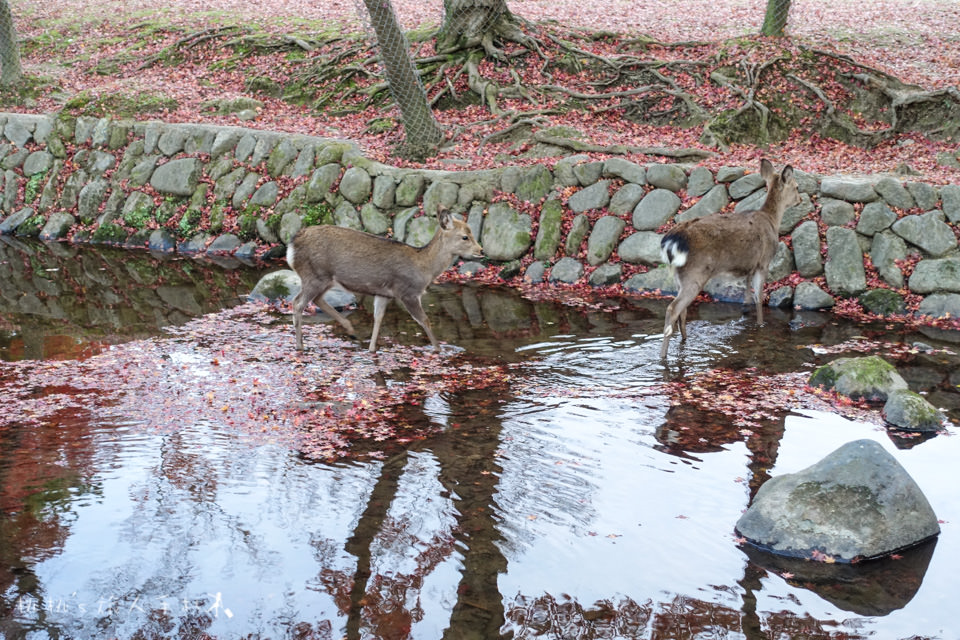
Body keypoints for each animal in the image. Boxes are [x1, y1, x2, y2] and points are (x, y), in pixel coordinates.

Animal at [284, 209, 480, 350]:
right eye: (465, 236)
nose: (480, 250)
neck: (424, 268)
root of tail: (291, 247)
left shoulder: (384, 293)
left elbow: (378, 318)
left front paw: (371, 349)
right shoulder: (408, 292)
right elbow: (425, 320)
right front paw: (439, 349)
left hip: (323, 278)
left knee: (316, 299)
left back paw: (351, 331)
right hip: (314, 275)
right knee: (298, 303)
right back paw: (300, 346)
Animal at [660, 159, 804, 360]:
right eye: (797, 186)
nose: (801, 200)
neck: (772, 221)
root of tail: (672, 240)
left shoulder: (749, 267)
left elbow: (747, 297)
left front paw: (745, 314)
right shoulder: (763, 262)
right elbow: (759, 298)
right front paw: (760, 325)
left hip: (677, 275)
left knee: (682, 310)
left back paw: (684, 341)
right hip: (695, 273)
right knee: (673, 309)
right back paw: (663, 355)